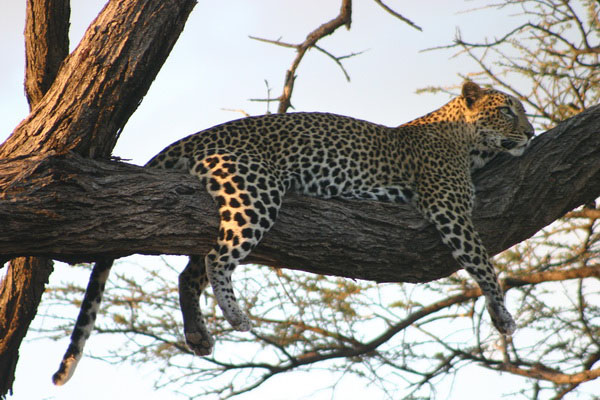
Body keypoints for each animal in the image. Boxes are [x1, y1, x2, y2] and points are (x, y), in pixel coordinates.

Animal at [52, 81, 536, 384]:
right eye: (507, 110)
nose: (532, 133)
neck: (466, 142)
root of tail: (190, 139)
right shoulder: (448, 207)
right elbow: (483, 263)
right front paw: (503, 315)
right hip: (254, 189)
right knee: (217, 258)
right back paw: (235, 315)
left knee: (189, 271)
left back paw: (198, 334)